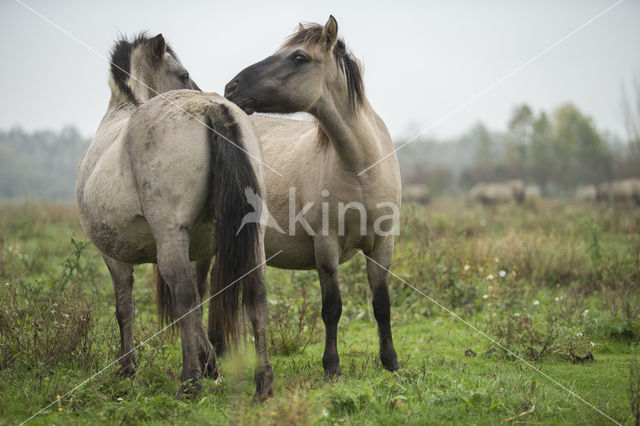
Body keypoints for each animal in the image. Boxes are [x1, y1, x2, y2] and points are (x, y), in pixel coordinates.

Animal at [76, 34, 274, 400]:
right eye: (183, 75)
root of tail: (210, 108)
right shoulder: (201, 251)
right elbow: (200, 300)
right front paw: (212, 365)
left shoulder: (114, 256)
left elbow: (124, 307)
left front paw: (128, 368)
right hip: (252, 241)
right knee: (254, 292)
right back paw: (263, 382)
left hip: (169, 239)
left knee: (184, 299)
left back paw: (189, 382)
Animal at [221, 15, 400, 376]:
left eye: (299, 57)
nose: (232, 88)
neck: (361, 168)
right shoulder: (326, 246)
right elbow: (332, 307)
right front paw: (332, 365)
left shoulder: (382, 244)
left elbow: (381, 303)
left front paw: (390, 361)